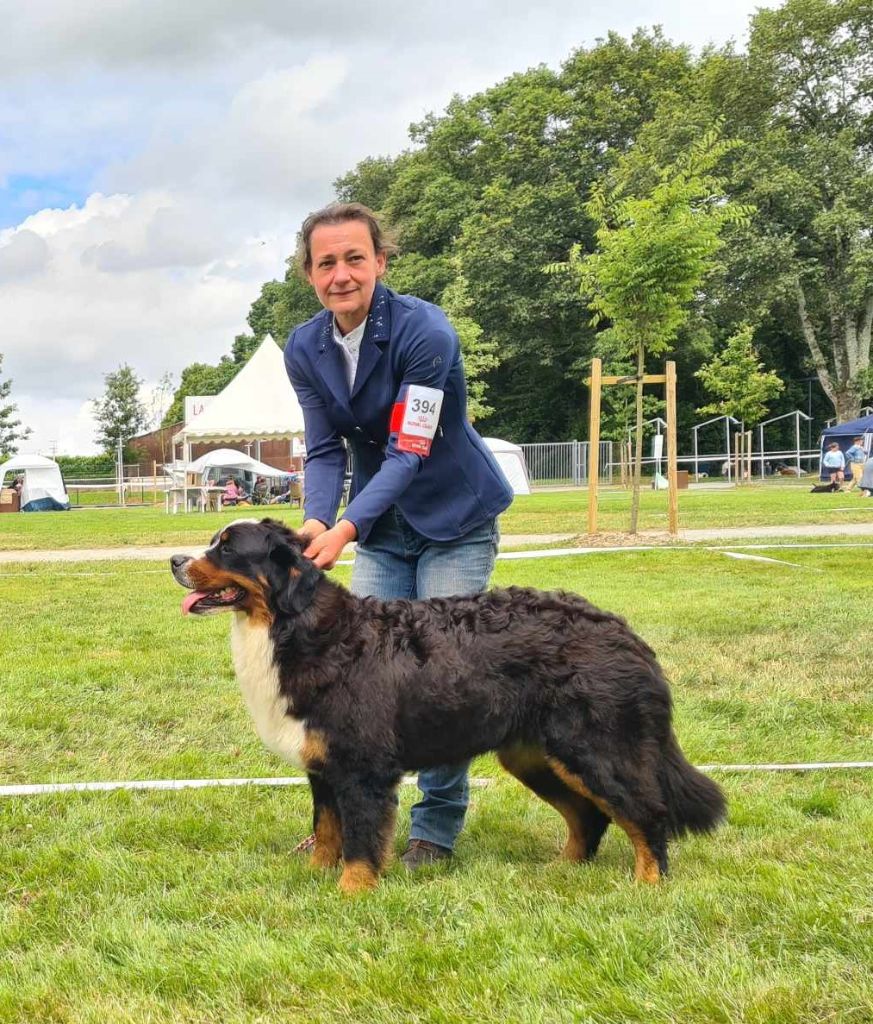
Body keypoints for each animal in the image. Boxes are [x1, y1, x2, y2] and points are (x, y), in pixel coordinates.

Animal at [168, 516, 720, 892]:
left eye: (227, 549)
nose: (174, 561)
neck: (295, 628)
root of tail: (624, 632)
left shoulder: (362, 768)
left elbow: (360, 839)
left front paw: (351, 893)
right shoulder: (323, 766)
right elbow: (326, 831)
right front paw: (314, 878)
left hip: (598, 748)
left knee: (646, 812)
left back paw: (649, 884)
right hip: (533, 756)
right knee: (589, 816)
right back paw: (561, 870)